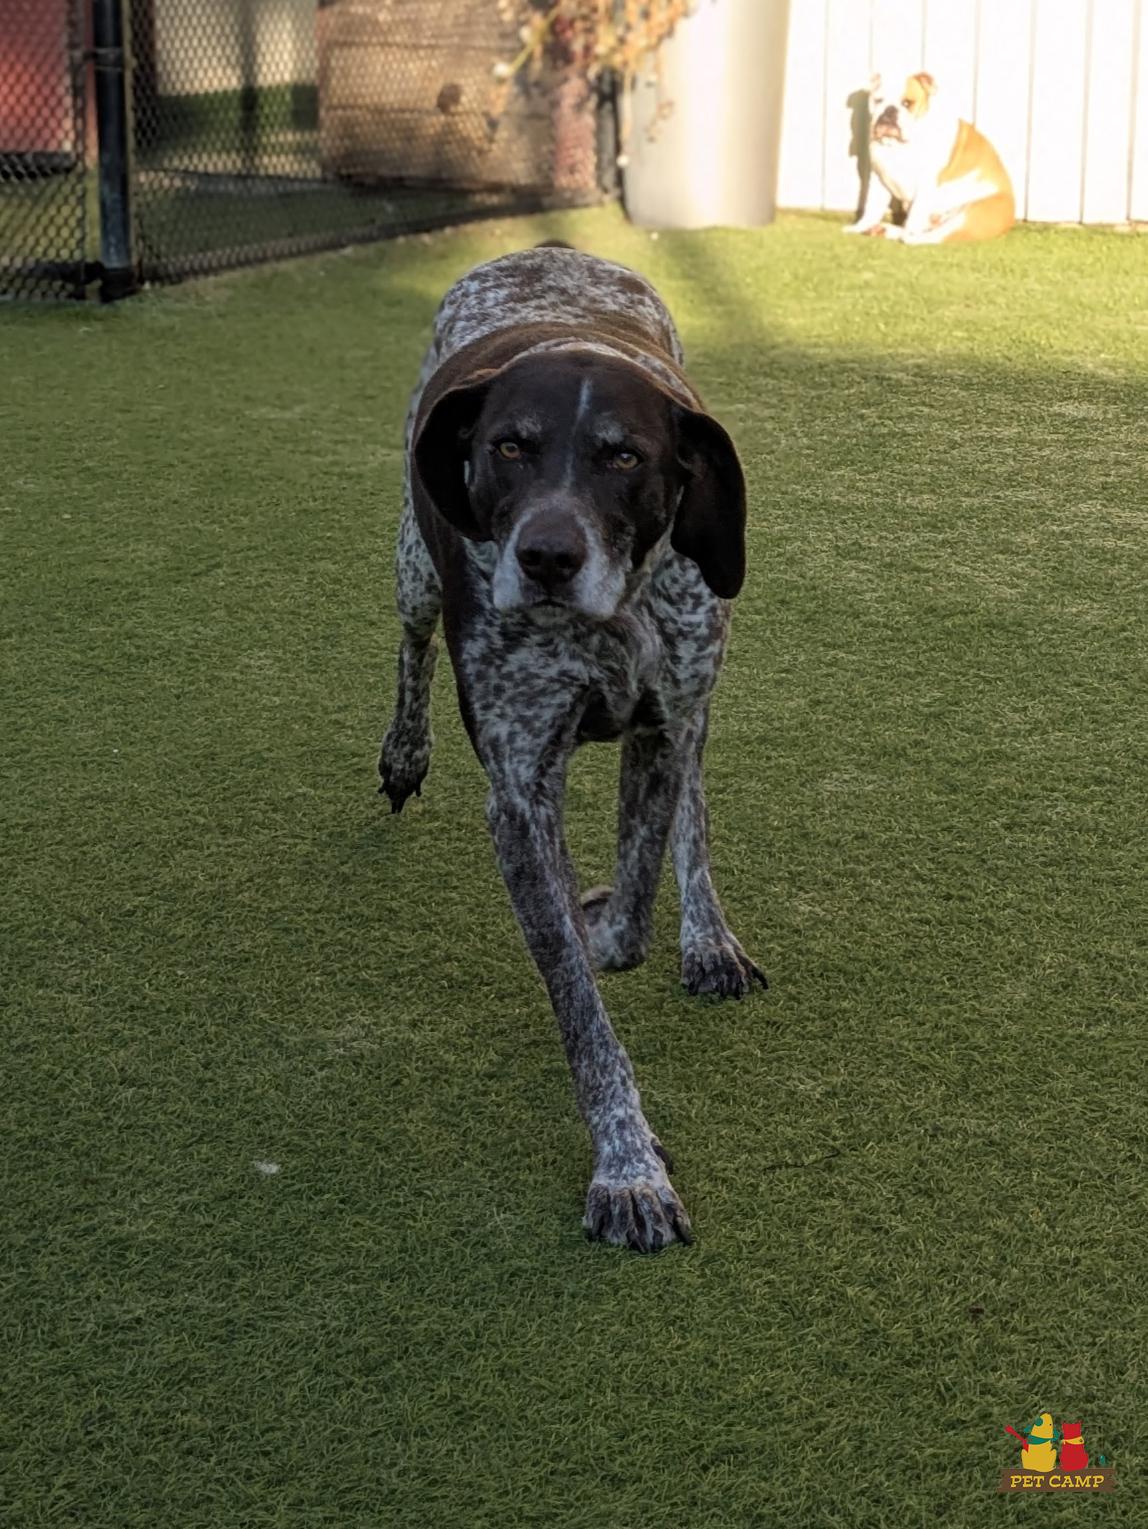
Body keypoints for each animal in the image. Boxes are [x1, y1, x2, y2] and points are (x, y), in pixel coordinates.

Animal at [379, 246, 765, 1252]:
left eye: (624, 456)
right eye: (509, 446)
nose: (547, 556)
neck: (614, 618)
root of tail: (547, 254)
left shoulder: (665, 720)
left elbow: (630, 914)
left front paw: (632, 924)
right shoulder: (519, 794)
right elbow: (579, 997)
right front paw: (627, 1169)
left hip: (699, 686)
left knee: (693, 801)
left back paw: (708, 935)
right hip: (411, 565)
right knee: (413, 641)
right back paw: (403, 753)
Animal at [844, 71, 1015, 244]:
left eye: (907, 103)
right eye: (878, 100)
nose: (889, 110)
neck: (898, 146)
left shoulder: (925, 186)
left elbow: (915, 215)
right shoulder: (879, 178)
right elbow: (871, 208)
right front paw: (859, 227)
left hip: (970, 216)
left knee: (933, 237)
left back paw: (904, 237)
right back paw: (883, 230)